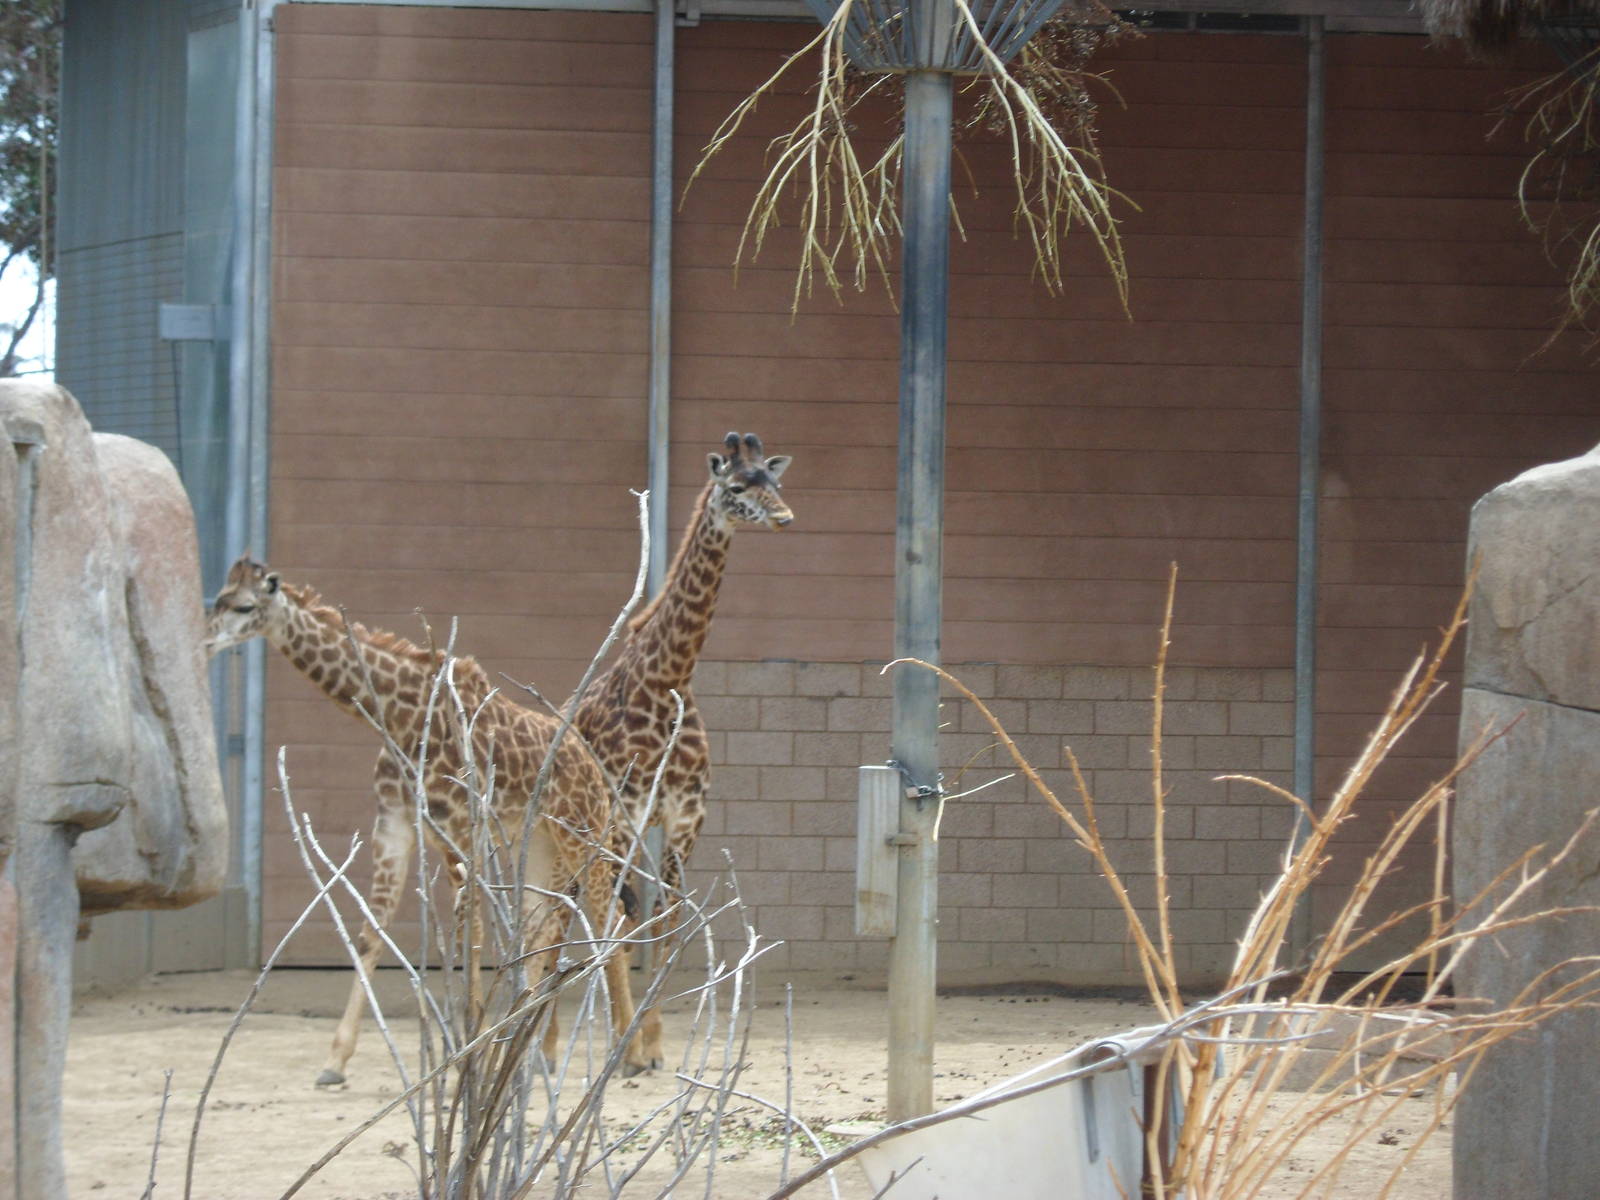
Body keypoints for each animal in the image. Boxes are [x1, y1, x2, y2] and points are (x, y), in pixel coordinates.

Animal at [204, 557, 649, 1084]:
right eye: (218, 599)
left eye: (244, 606)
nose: (205, 641)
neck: (400, 718)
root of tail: (593, 766)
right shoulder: (394, 827)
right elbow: (370, 934)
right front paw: (335, 1060)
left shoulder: (461, 828)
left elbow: (472, 934)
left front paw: (469, 1051)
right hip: (541, 842)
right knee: (544, 924)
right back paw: (530, 1043)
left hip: (580, 833)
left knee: (607, 916)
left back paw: (630, 1052)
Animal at [569, 431, 793, 1070]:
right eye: (737, 486)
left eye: (776, 482)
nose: (785, 518)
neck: (666, 678)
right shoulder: (627, 813)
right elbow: (626, 921)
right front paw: (631, 1047)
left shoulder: (685, 816)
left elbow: (667, 922)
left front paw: (652, 1041)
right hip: (590, 826)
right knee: (593, 913)